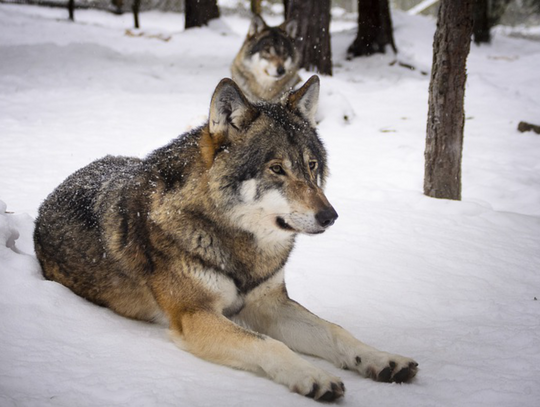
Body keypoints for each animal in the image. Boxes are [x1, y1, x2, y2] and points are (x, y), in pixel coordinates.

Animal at [34, 75, 418, 402]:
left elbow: (335, 330)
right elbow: (270, 345)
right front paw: (314, 376)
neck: (237, 241)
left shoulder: (270, 305)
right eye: (276, 169)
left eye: (311, 166)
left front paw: (382, 359)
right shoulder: (195, 316)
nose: (330, 216)